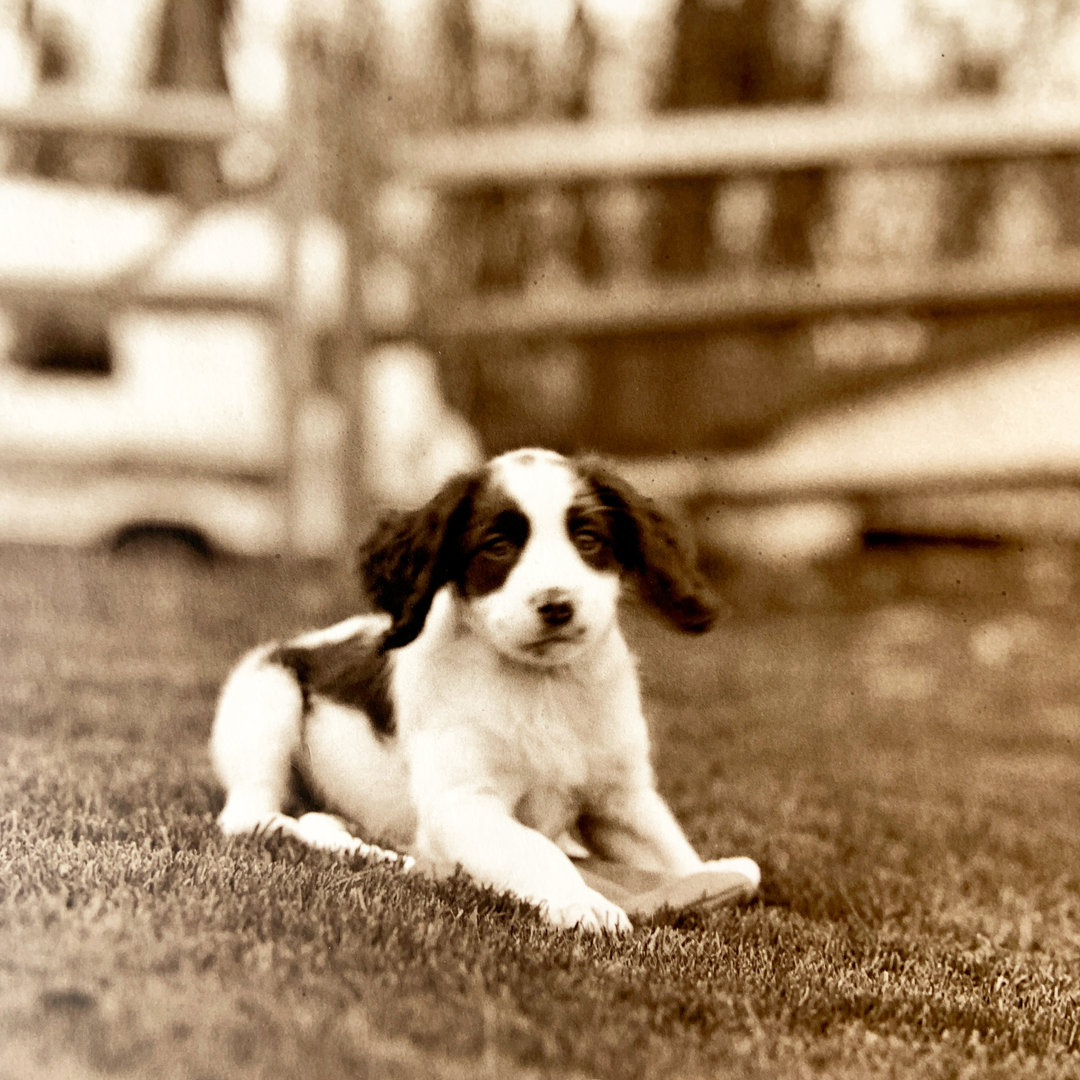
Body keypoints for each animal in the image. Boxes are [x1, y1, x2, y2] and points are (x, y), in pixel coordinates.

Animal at [210, 442, 760, 933]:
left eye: (587, 539)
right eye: (498, 547)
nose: (557, 605)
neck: (543, 687)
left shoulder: (620, 797)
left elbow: (671, 848)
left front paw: (708, 874)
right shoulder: (464, 804)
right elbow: (536, 850)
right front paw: (583, 903)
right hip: (268, 696)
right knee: (253, 815)